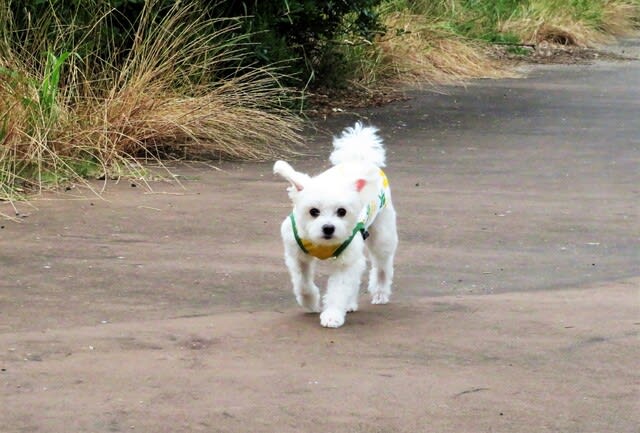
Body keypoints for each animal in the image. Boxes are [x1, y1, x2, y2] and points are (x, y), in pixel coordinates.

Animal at [273, 122, 398, 328]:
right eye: (313, 211)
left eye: (342, 212)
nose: (328, 228)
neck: (321, 244)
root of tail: (358, 158)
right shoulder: (297, 256)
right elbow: (303, 284)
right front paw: (310, 302)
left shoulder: (345, 262)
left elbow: (339, 290)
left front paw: (332, 315)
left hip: (383, 235)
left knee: (382, 267)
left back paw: (380, 293)